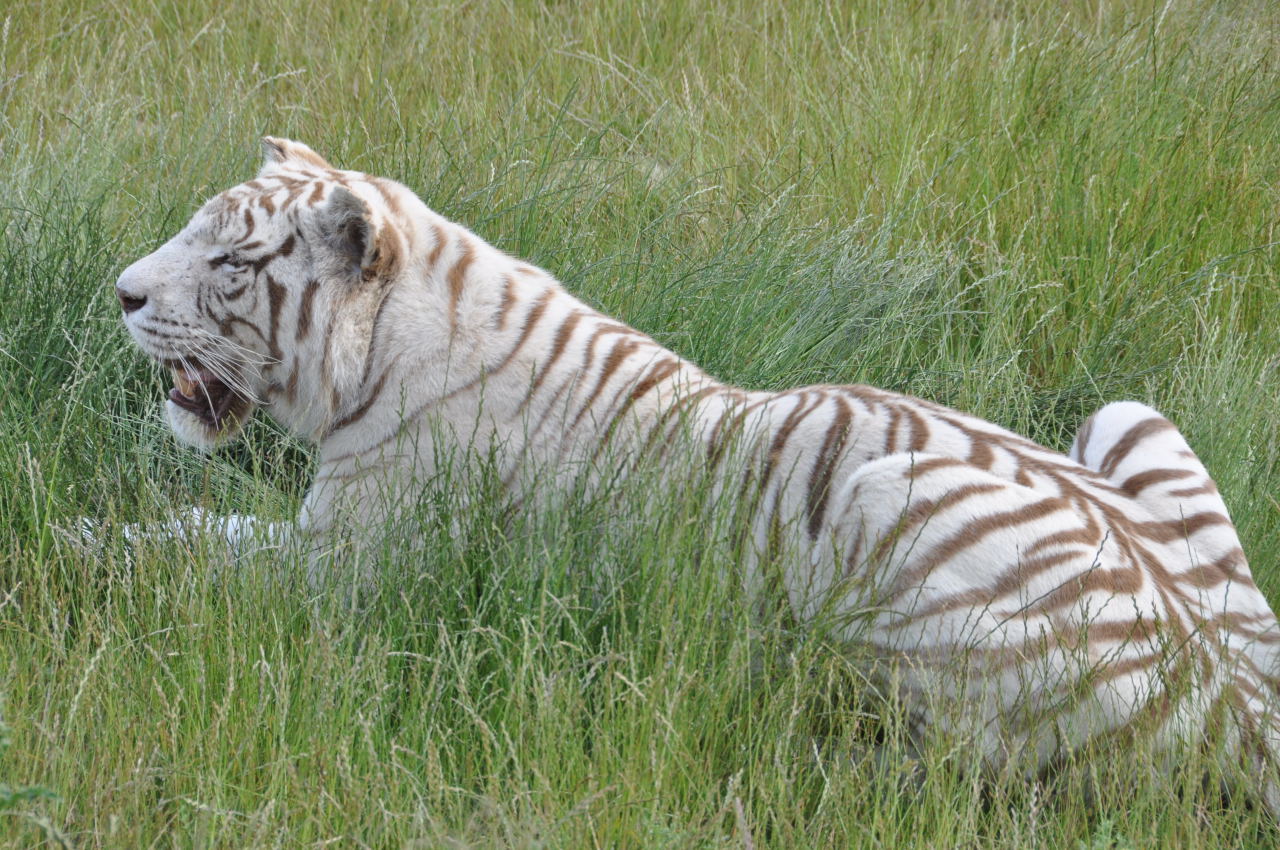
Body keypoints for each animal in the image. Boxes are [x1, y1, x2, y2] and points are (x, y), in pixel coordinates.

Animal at [113, 136, 1280, 811]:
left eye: (229, 262)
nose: (121, 293)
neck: (379, 355)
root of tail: (1243, 707)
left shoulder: (343, 571)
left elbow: (187, 542)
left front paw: (97, 548)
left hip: (884, 504)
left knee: (972, 776)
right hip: (1127, 414)